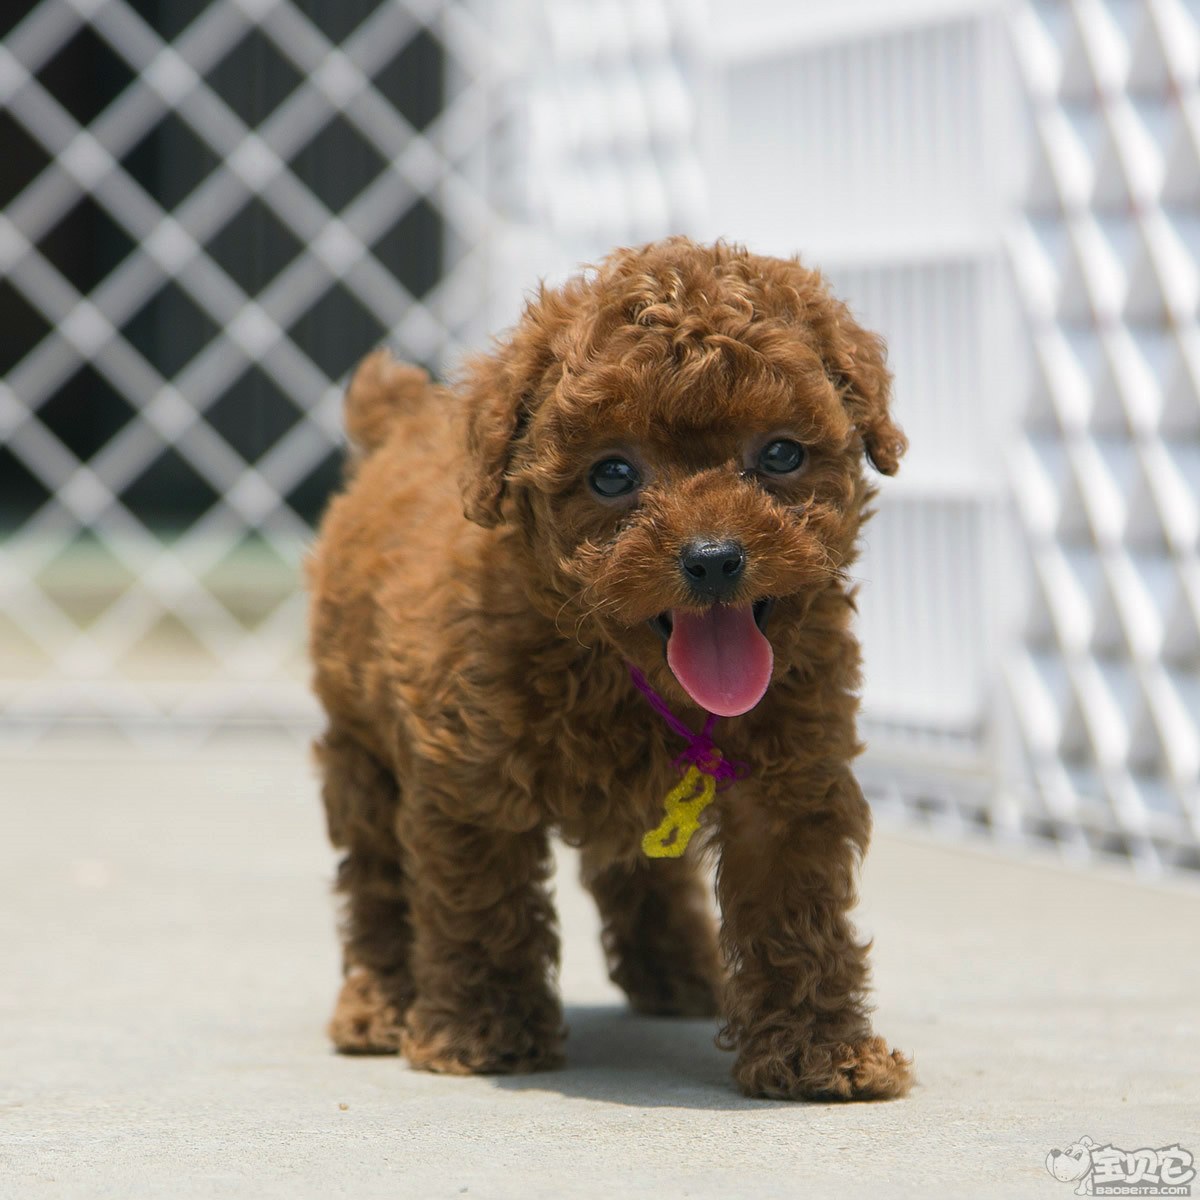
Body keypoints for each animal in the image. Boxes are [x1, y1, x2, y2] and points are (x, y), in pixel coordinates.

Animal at [307, 231, 907, 1099]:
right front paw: (484, 1034)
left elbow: (796, 908)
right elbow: (480, 902)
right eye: (613, 473)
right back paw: (379, 1007)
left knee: (642, 869)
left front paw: (818, 1055)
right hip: (358, 747)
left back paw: (681, 976)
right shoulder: (468, 778)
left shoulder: (793, 780)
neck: (635, 678)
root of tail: (405, 420)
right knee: (379, 879)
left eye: (782, 454)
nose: (714, 559)